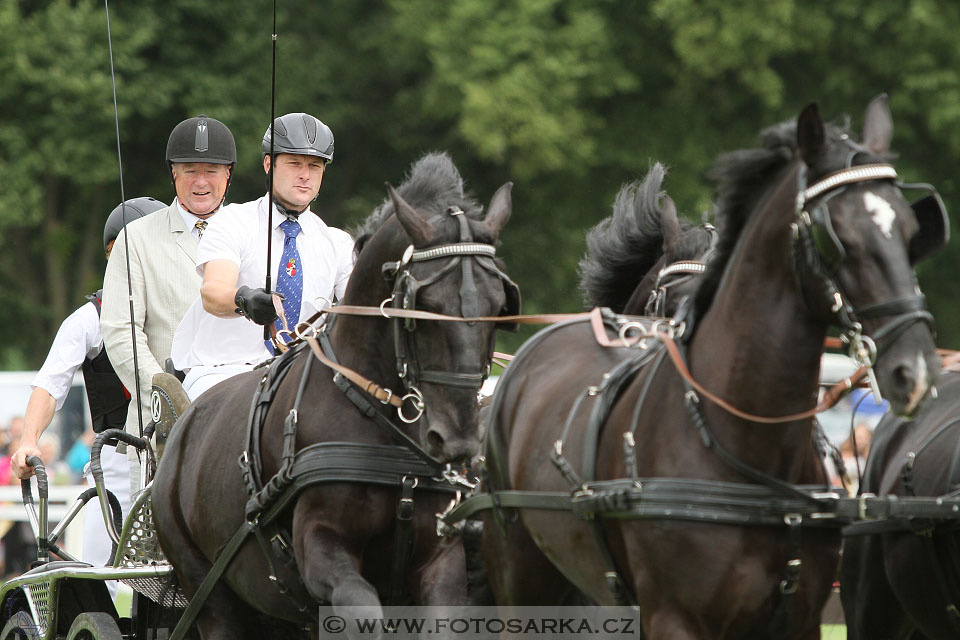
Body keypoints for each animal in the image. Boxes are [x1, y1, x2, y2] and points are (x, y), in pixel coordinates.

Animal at [152, 154, 516, 640]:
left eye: (500, 306)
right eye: (423, 307)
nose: (456, 439)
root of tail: (179, 434)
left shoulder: (440, 561)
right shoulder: (321, 549)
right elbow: (362, 614)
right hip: (210, 595)